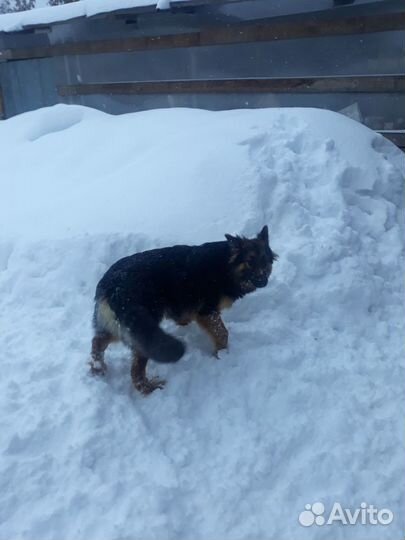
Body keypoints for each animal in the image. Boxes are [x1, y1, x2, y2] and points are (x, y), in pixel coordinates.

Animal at [90, 226, 276, 394]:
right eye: (250, 261)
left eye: (265, 261)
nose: (263, 282)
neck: (226, 265)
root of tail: (112, 285)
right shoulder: (207, 312)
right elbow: (223, 333)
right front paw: (221, 354)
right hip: (144, 329)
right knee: (135, 370)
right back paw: (149, 388)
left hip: (122, 326)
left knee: (97, 341)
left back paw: (97, 368)